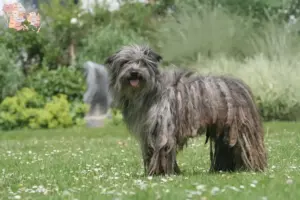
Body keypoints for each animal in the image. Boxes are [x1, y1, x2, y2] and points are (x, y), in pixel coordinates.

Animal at [105, 44, 268, 176]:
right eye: (125, 62)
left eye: (143, 62)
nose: (134, 72)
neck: (149, 91)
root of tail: (241, 86)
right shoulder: (148, 133)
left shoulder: (163, 129)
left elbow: (161, 150)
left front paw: (160, 172)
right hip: (225, 131)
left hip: (241, 129)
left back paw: (253, 167)